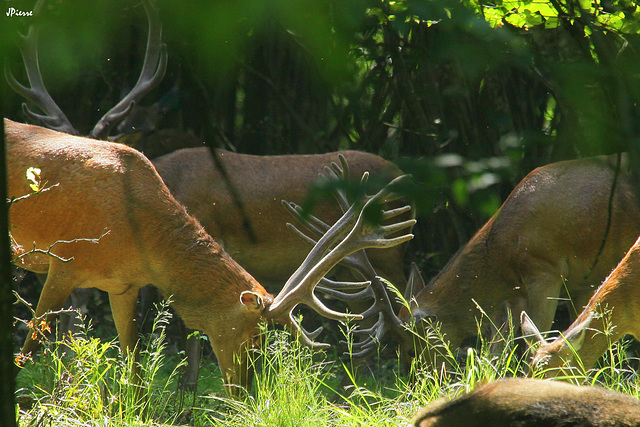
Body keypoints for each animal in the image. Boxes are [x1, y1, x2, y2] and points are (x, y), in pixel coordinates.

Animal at [6, 118, 416, 398]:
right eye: (255, 337)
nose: (247, 392)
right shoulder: (64, 261)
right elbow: (29, 346)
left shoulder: (123, 285)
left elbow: (134, 365)